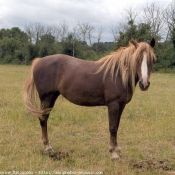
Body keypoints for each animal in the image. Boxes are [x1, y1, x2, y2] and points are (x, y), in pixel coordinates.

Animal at [22, 38, 156, 160]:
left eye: (152, 60)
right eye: (137, 59)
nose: (144, 84)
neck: (118, 74)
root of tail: (39, 61)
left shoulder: (121, 105)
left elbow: (117, 126)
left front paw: (117, 148)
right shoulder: (113, 104)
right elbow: (112, 127)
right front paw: (113, 153)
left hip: (53, 97)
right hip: (46, 98)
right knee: (43, 119)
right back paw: (48, 147)